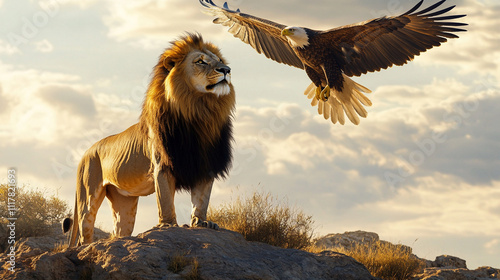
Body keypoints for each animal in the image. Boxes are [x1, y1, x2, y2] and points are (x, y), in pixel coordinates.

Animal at [62, 34, 234, 246]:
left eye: (220, 60)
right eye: (200, 61)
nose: (226, 70)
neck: (199, 111)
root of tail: (85, 153)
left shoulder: (205, 165)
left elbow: (201, 200)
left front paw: (202, 223)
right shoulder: (163, 165)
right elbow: (166, 199)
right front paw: (168, 225)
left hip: (124, 203)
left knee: (119, 231)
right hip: (88, 195)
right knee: (84, 229)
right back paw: (87, 247)